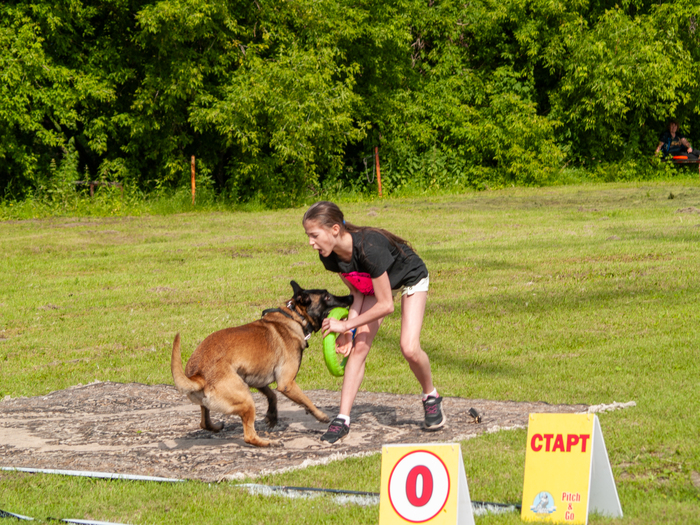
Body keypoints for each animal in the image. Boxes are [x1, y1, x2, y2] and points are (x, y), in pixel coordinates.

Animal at [171, 280, 353, 447]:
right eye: (327, 297)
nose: (351, 297)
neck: (294, 316)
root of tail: (198, 376)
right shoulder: (287, 384)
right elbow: (306, 400)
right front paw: (321, 416)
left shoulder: (256, 379)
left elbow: (272, 395)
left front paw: (272, 416)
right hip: (246, 399)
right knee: (249, 436)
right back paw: (269, 442)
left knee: (204, 422)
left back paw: (216, 427)